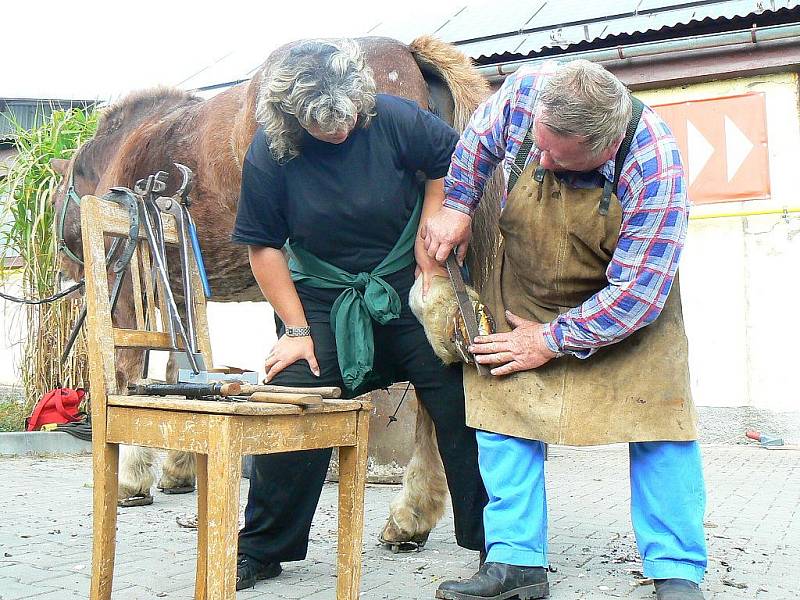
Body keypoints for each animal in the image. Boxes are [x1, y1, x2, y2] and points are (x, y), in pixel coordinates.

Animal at [51, 35, 500, 552]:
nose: (63, 274)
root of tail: (407, 53)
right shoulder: (180, 291)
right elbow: (179, 364)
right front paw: (179, 470)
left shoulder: (126, 288)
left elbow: (128, 372)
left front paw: (131, 479)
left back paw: (409, 515)